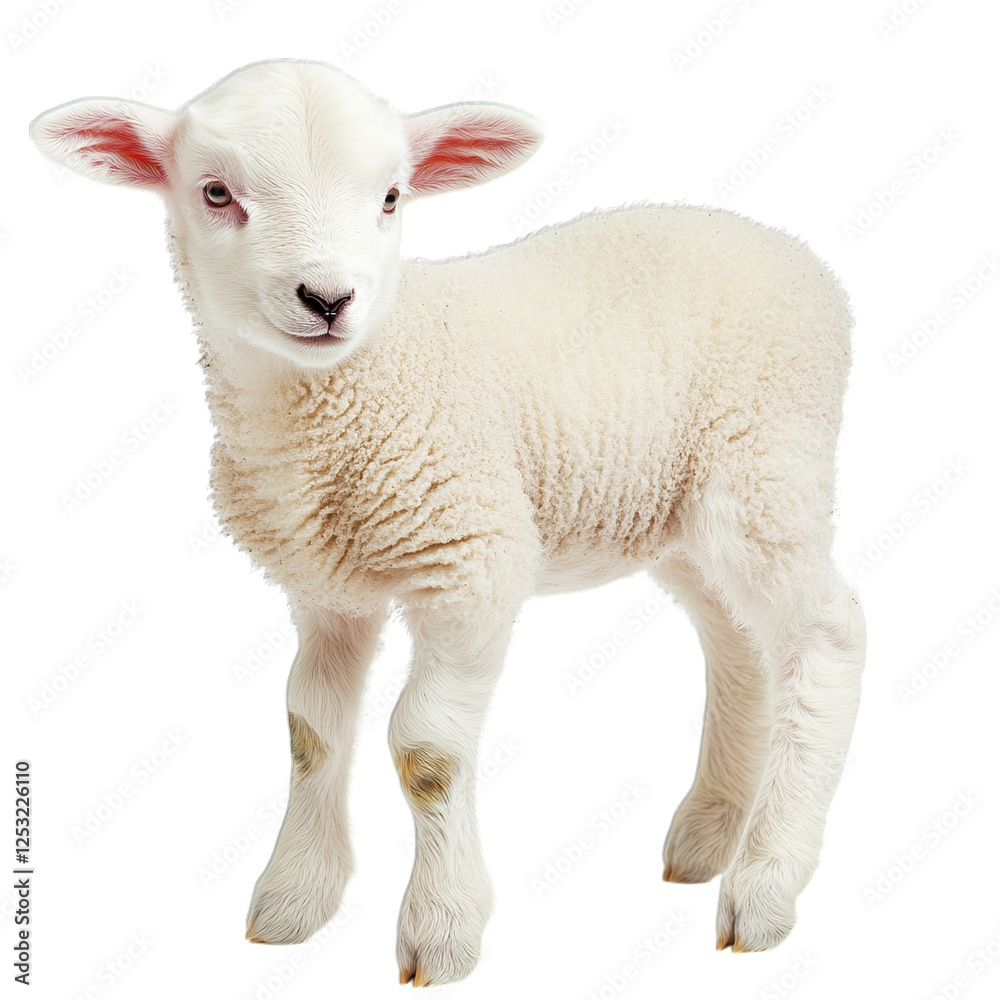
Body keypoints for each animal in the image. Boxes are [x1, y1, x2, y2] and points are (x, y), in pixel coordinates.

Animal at [31, 58, 866, 987]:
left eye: (392, 196)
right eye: (216, 193)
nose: (328, 297)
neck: (351, 392)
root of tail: (792, 253)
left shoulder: (472, 562)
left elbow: (425, 749)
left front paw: (442, 929)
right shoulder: (327, 590)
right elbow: (309, 731)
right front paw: (294, 900)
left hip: (765, 469)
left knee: (827, 634)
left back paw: (766, 884)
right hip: (676, 512)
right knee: (739, 647)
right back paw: (709, 835)